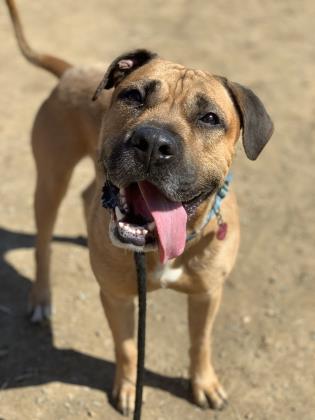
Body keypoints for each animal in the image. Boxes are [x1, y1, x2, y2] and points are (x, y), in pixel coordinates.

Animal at [5, 0, 274, 416]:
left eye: (210, 118)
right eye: (133, 96)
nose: (153, 142)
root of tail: (70, 70)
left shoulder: (207, 294)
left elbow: (201, 342)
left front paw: (204, 383)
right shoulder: (118, 298)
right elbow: (128, 348)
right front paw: (130, 390)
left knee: (87, 195)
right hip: (50, 180)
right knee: (42, 244)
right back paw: (40, 298)